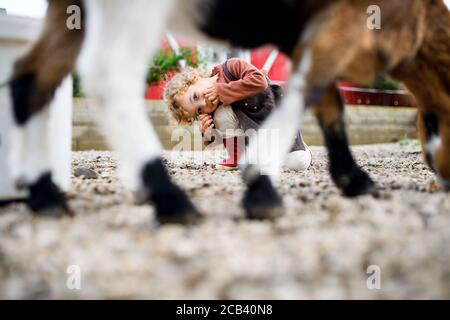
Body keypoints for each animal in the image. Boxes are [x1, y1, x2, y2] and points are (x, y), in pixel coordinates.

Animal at [7, 0, 450, 222]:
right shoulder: (342, 21)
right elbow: (308, 93)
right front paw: (262, 190)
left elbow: (322, 98)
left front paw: (352, 179)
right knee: (107, 76)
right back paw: (172, 201)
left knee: (32, 78)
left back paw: (45, 196)